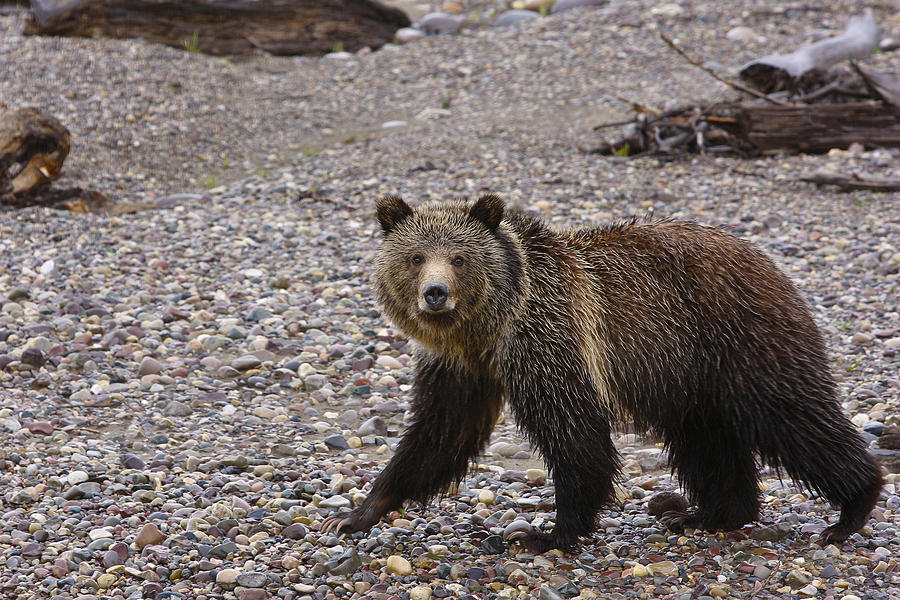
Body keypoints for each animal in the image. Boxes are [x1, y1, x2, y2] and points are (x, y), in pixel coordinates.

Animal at [320, 195, 884, 552]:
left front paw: (546, 533)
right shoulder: (460, 366)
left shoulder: (549, 338)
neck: (490, 327)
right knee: (704, 439)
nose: (435, 293)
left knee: (792, 416)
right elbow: (438, 435)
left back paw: (851, 508)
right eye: (416, 257)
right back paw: (706, 513)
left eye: (459, 258)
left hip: (738, 338)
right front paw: (356, 513)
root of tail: (766, 259)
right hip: (688, 374)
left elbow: (573, 432)